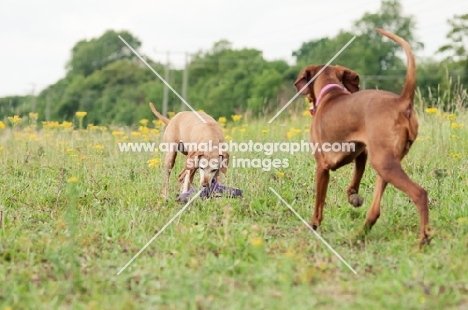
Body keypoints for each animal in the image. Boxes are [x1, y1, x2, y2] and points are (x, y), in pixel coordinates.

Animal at [294, 28, 430, 247]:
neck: (331, 92)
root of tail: (402, 101)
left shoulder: (322, 166)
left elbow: (318, 205)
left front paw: (312, 226)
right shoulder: (361, 153)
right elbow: (355, 180)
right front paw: (353, 197)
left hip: (384, 164)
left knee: (419, 194)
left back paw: (423, 240)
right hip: (385, 164)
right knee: (375, 211)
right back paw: (357, 236)